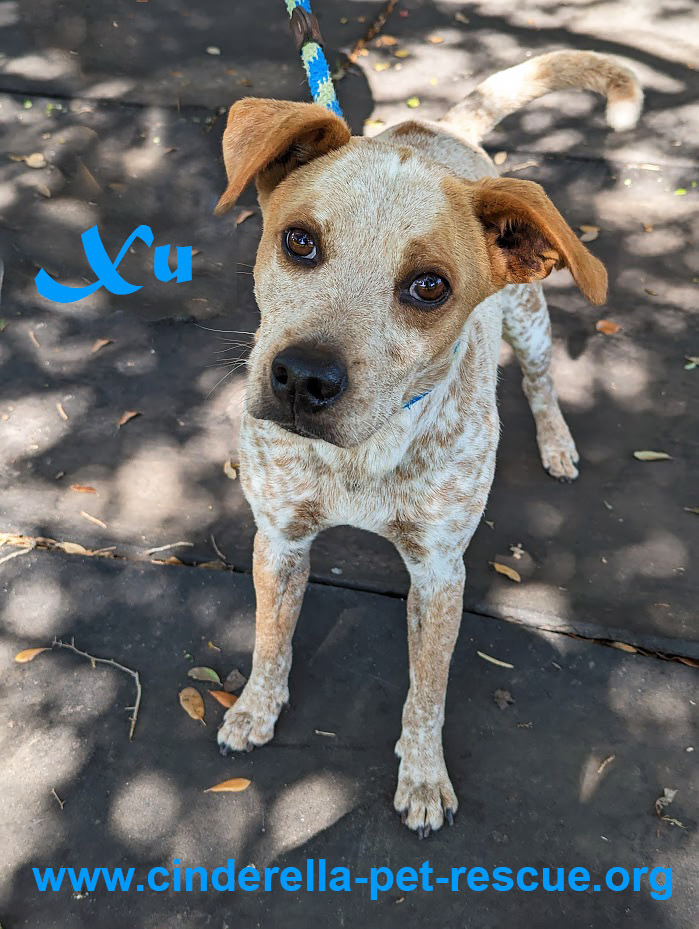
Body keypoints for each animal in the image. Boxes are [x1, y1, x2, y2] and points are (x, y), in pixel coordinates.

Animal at [215, 49, 644, 832]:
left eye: (428, 286)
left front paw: (421, 777)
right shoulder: (280, 540)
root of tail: (442, 128)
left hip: (529, 321)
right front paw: (255, 710)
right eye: (299, 240)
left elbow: (427, 692)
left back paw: (557, 444)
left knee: (540, 380)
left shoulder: (440, 573)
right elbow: (270, 638)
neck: (361, 454)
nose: (301, 378)